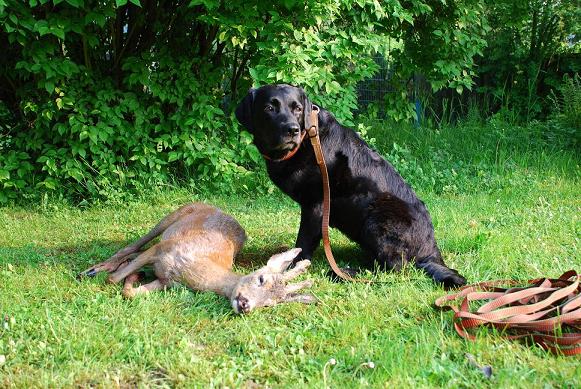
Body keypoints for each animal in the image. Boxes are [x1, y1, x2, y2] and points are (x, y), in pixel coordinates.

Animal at [233, 83, 464, 286]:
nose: (292, 130)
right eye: (269, 108)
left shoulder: (315, 205)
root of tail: (432, 251)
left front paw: (293, 267)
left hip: (375, 219)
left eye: (297, 109)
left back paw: (344, 272)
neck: (308, 139)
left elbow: (304, 243)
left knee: (394, 267)